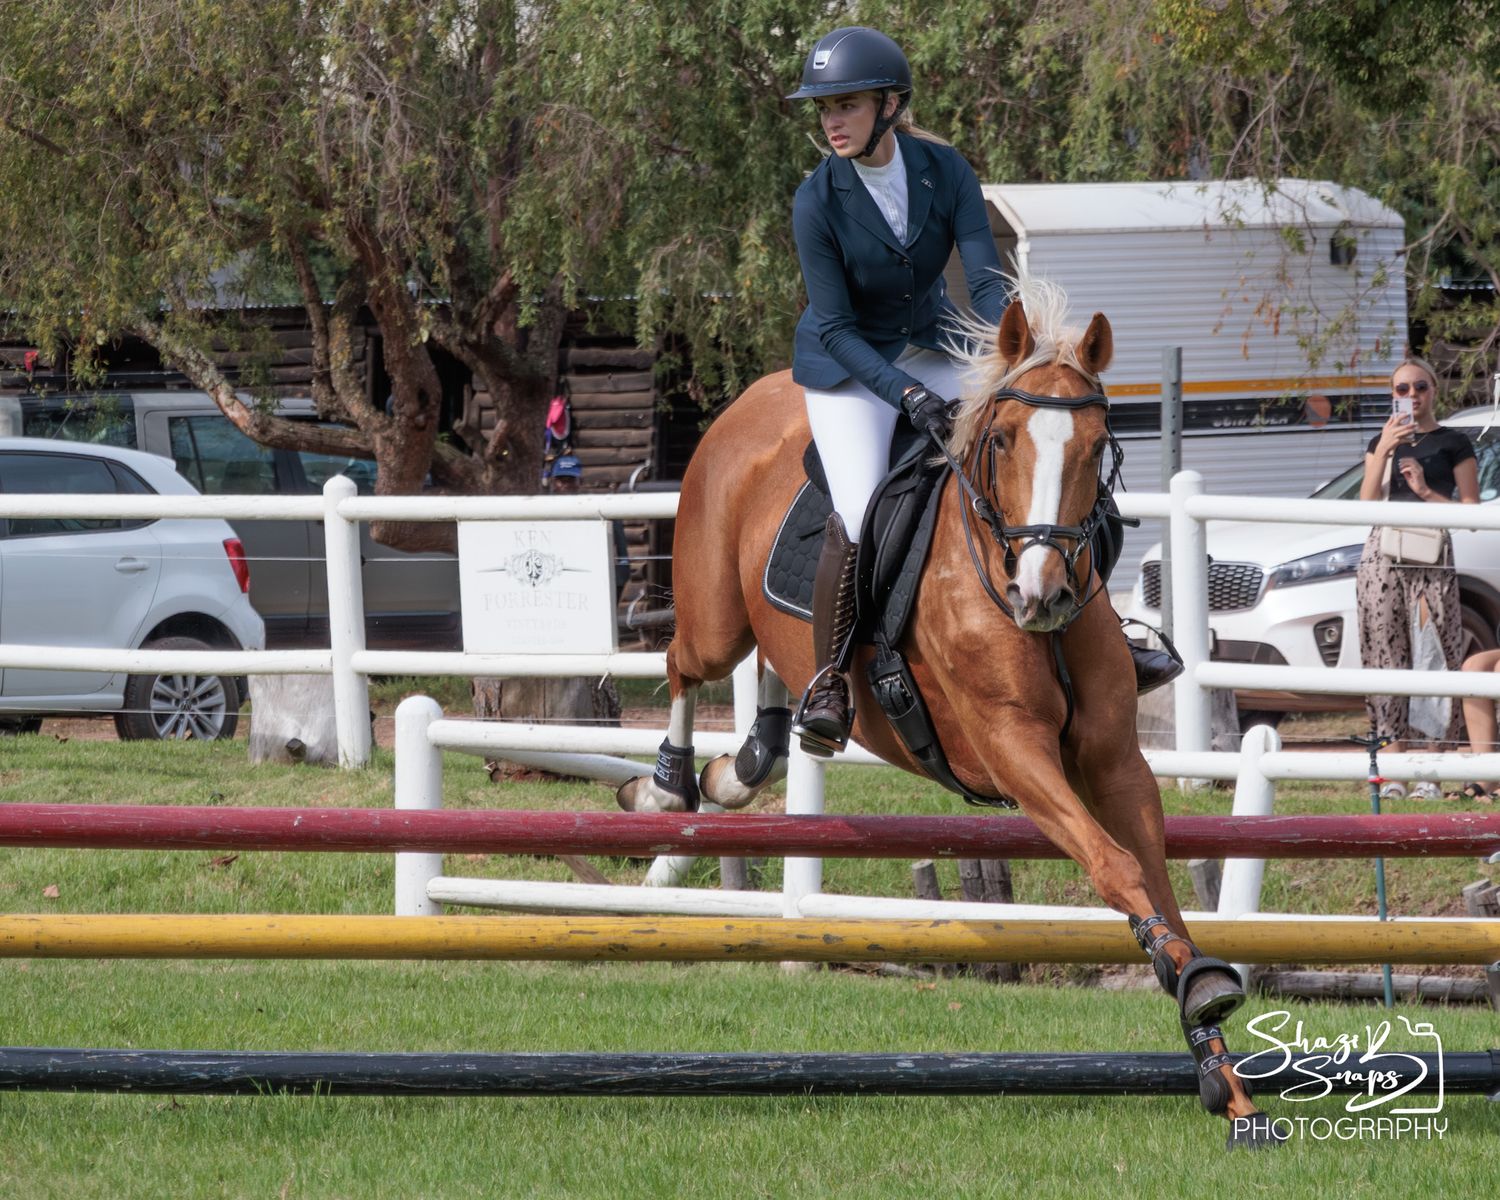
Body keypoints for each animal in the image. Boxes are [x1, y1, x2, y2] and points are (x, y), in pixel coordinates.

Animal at [617, 276, 1279, 1148]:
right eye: (1000, 441)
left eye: (1097, 446)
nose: (1043, 595)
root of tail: (757, 395)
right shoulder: (1013, 750)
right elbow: (1114, 864)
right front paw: (1199, 1002)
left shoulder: (1113, 759)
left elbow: (1153, 875)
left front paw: (1215, 1051)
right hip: (713, 616)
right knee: (684, 665)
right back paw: (666, 783)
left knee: (770, 678)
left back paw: (749, 761)